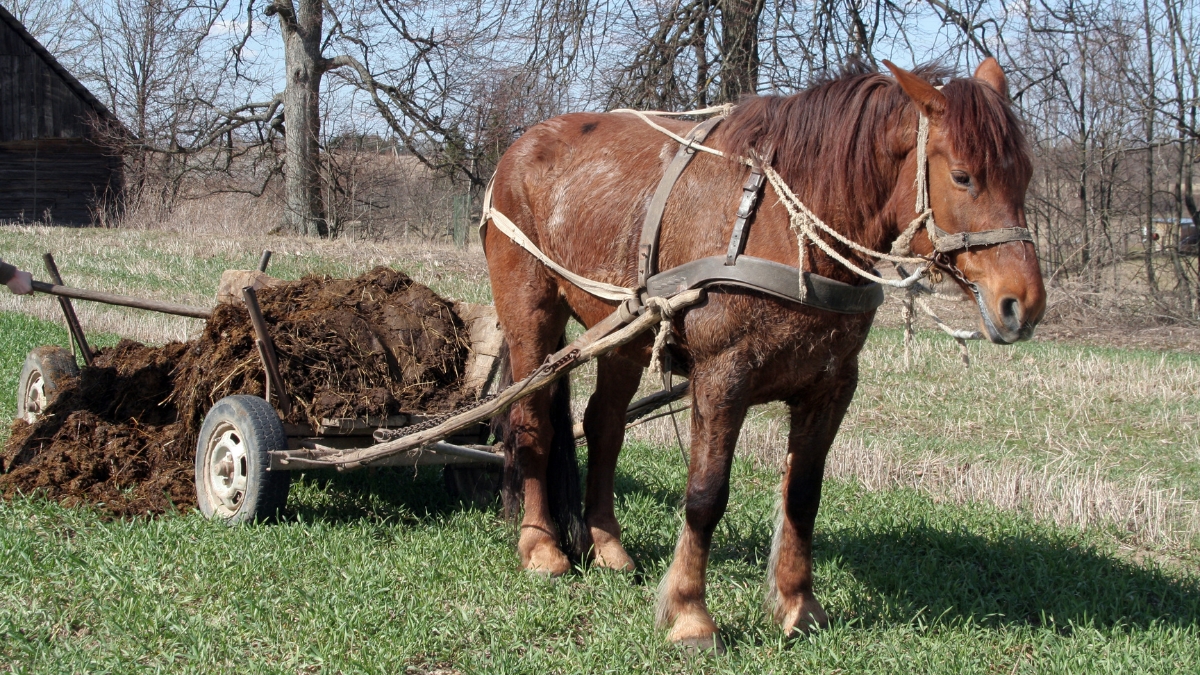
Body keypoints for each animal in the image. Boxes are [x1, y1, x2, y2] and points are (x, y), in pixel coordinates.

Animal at [482, 59, 1046, 648]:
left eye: (1026, 174)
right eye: (962, 176)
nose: (1023, 303)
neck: (786, 225)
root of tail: (520, 146)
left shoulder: (830, 387)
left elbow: (802, 496)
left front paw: (798, 605)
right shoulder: (722, 379)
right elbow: (705, 496)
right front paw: (690, 613)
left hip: (626, 334)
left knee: (604, 426)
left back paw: (607, 544)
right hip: (531, 318)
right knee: (532, 424)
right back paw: (541, 546)